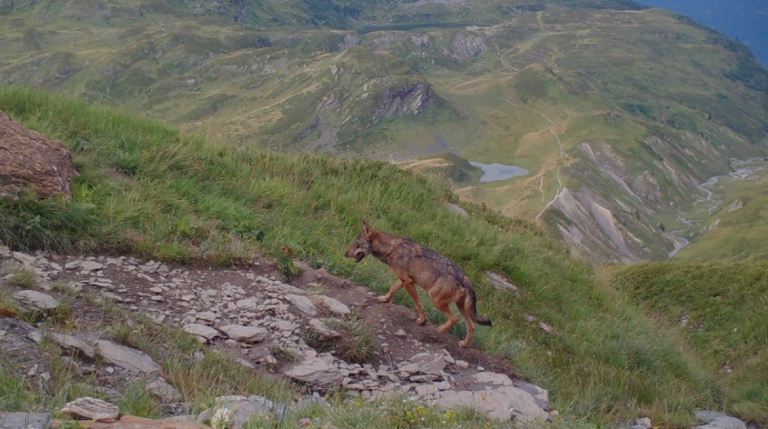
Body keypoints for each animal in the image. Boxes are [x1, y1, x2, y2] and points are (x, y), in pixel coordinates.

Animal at [344, 221, 492, 347]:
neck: (392, 248)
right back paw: (464, 344)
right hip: (460, 307)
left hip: (436, 300)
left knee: (455, 319)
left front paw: (422, 321)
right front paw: (384, 299)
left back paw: (441, 329)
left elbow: (418, 304)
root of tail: (465, 278)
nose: (345, 253)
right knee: (472, 326)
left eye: (357, 244)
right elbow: (392, 290)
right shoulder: (403, 280)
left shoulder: (409, 282)